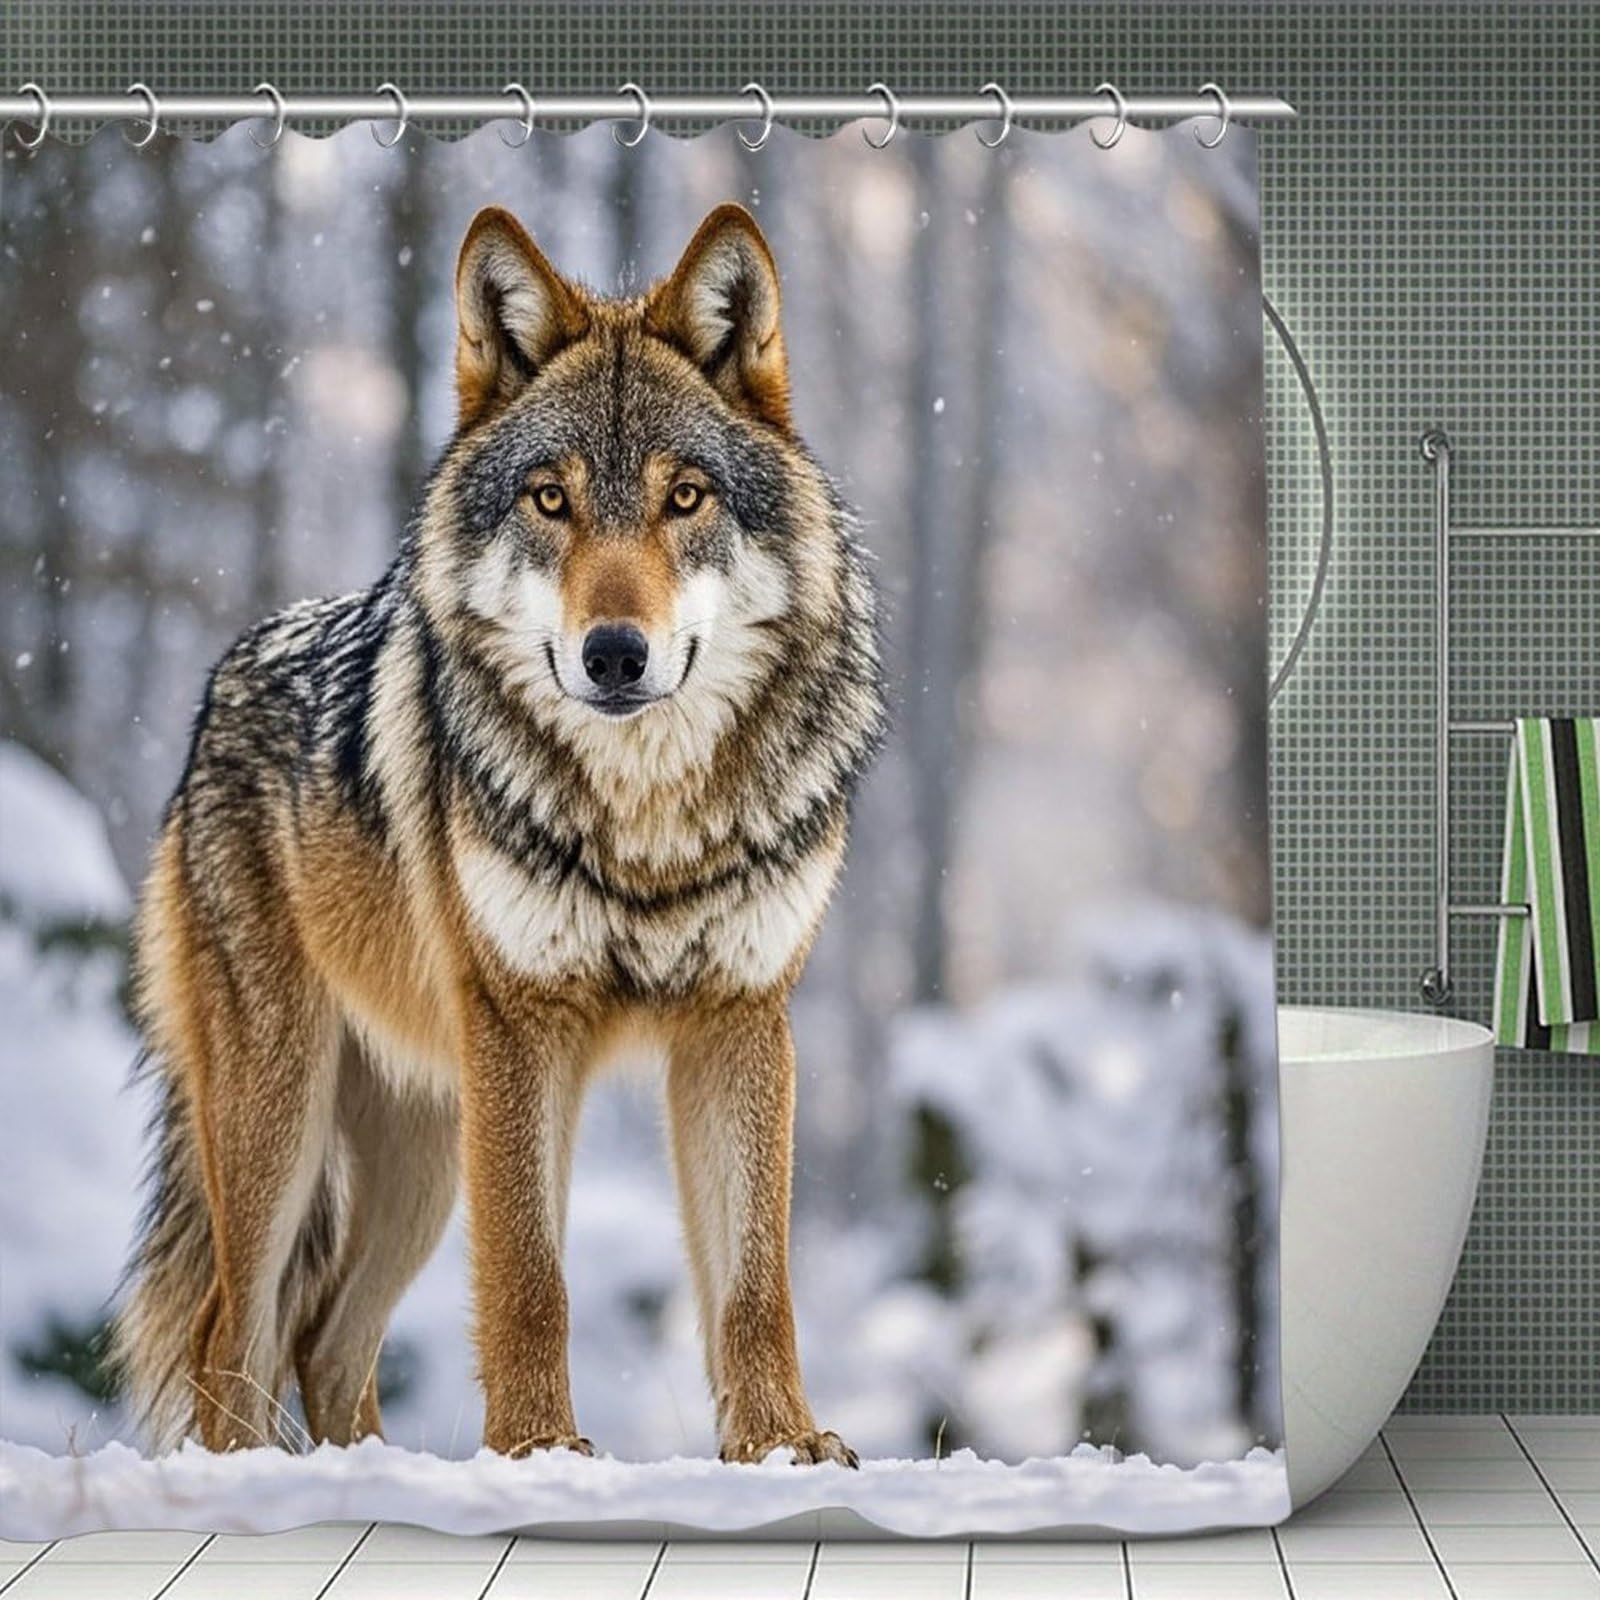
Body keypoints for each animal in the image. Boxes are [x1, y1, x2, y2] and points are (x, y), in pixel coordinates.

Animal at [114, 202, 884, 1467]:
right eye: (549, 498)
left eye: (684, 498)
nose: (614, 653)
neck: (647, 825)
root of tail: (216, 688)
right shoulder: (525, 1028)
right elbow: (531, 1278)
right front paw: (535, 1453)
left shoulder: (738, 1019)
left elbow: (753, 1283)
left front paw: (780, 1444)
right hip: (288, 1110)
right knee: (237, 1327)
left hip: (423, 1145)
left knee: (327, 1339)